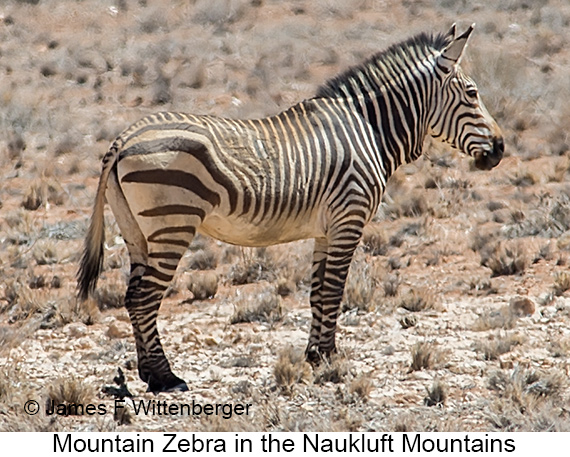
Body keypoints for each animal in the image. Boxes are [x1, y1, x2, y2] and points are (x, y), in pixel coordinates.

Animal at [76, 24, 502, 392]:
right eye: (472, 93)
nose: (499, 149)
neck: (369, 129)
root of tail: (124, 138)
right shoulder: (349, 219)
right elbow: (333, 291)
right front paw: (330, 359)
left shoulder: (327, 229)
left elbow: (317, 293)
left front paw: (315, 355)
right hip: (172, 225)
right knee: (144, 298)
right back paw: (166, 377)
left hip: (136, 231)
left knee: (133, 296)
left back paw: (149, 373)